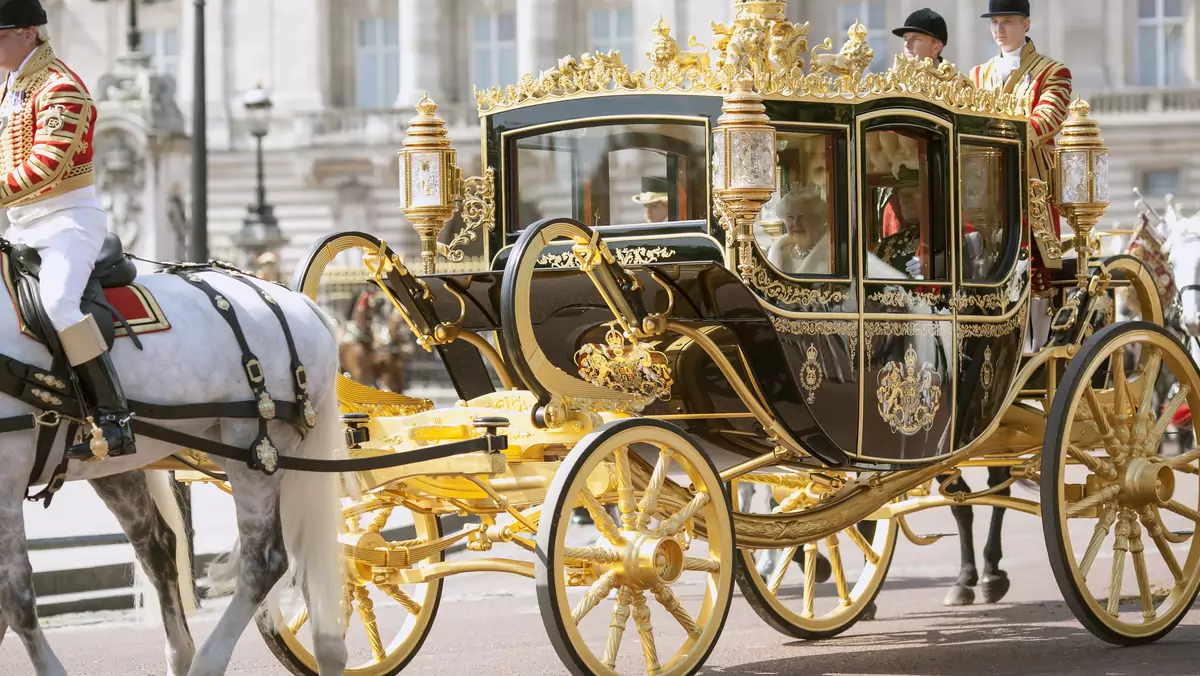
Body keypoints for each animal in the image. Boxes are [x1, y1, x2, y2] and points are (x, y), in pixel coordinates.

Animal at [0, 267, 348, 672]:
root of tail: (299, 302)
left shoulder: (7, 476)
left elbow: (16, 596)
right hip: (133, 463)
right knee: (167, 546)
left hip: (257, 448)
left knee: (265, 561)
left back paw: (208, 662)